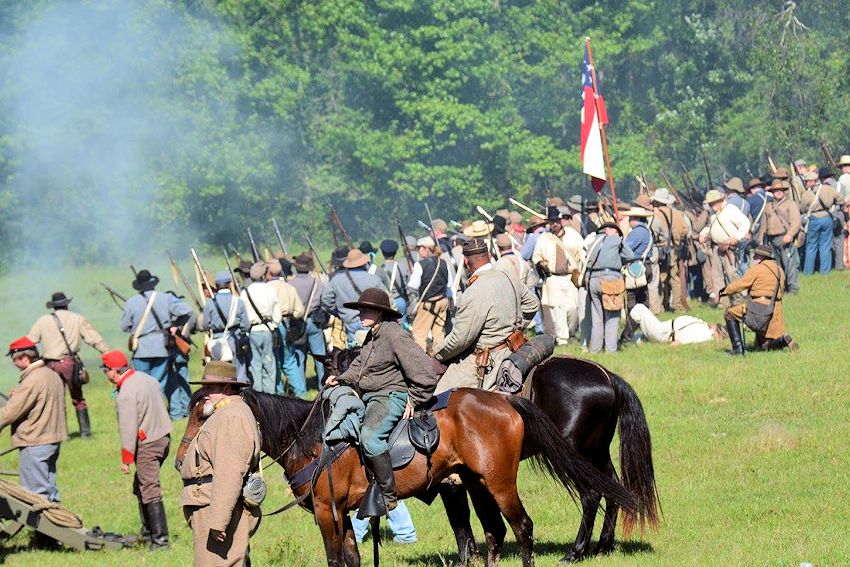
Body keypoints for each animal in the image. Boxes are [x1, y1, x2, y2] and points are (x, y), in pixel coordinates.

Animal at [174, 386, 636, 567]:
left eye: (203, 414)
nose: (179, 462)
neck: (312, 441)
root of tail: (505, 401)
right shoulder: (344, 514)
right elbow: (353, 557)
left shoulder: (326, 511)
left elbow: (334, 558)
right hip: (476, 484)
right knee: (494, 532)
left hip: (500, 483)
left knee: (521, 526)